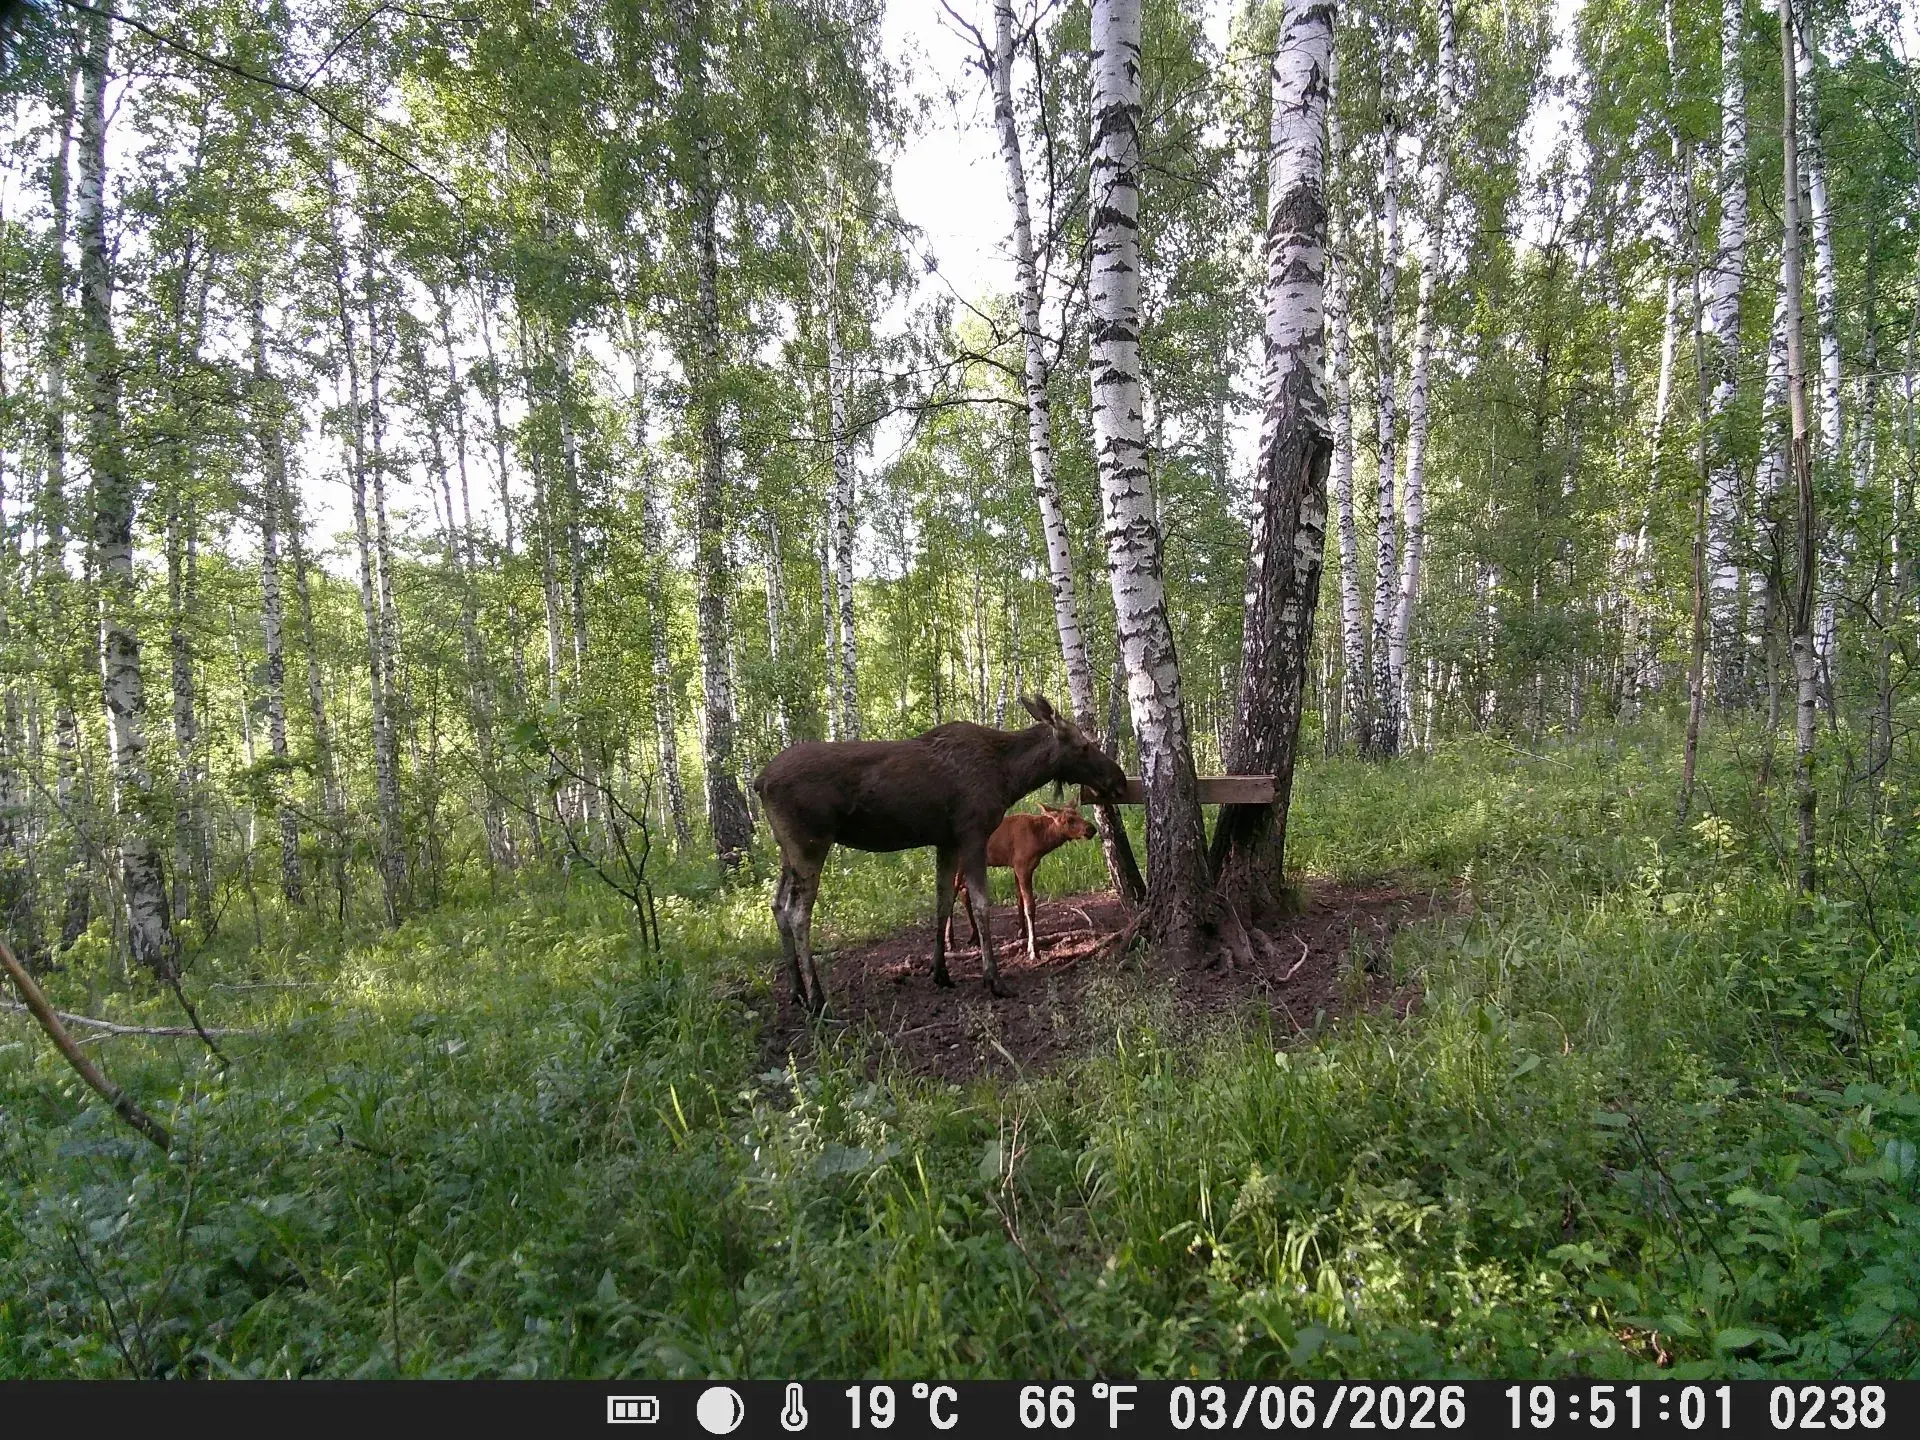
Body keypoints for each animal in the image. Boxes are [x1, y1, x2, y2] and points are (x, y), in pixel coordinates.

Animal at [947, 802, 1100, 965]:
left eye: (1079, 814)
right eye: (1069, 820)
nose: (1091, 829)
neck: (1042, 841)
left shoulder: (1017, 867)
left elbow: (1019, 900)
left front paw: (1022, 932)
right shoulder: (1023, 866)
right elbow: (1030, 907)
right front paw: (1033, 949)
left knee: (963, 892)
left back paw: (974, 936)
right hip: (958, 863)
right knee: (952, 896)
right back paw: (950, 941)